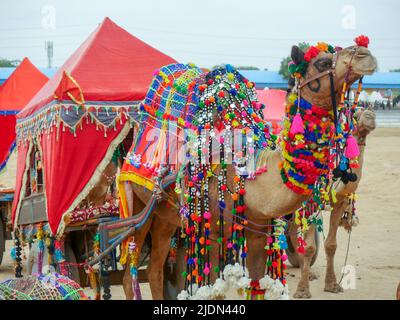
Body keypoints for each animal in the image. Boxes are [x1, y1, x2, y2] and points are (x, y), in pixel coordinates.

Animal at [292, 107, 376, 298]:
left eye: (369, 110)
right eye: (356, 113)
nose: (371, 116)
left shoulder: (340, 203)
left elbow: (331, 245)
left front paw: (332, 285)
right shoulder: (311, 204)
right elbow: (310, 247)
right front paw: (302, 290)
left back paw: (308, 272)